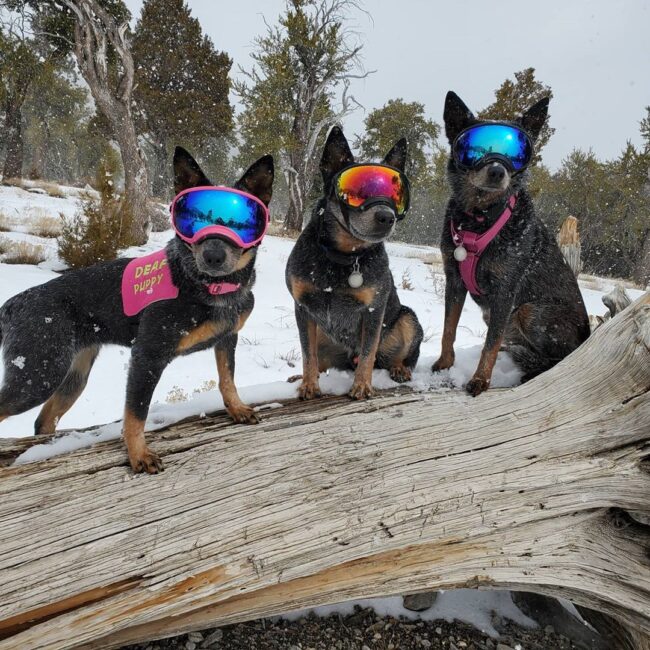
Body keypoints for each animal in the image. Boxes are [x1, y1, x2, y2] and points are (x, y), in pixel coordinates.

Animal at [0, 147, 272, 470]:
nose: (213, 256)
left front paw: (237, 408)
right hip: (37, 375)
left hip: (72, 377)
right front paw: (138, 455)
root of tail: (13, 303)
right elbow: (136, 413)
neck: (208, 287)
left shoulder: (227, 338)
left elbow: (227, 379)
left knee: (43, 421)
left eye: (240, 223)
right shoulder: (147, 356)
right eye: (191, 218)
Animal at [286, 125, 422, 400]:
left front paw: (362, 386)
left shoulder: (373, 311)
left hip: (408, 319)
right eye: (357, 192)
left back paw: (400, 369)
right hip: (324, 335)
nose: (387, 217)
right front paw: (308, 385)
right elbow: (307, 354)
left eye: (395, 194)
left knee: (399, 356)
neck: (343, 256)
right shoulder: (303, 308)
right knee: (321, 361)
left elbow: (368, 352)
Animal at [430, 91, 588, 394]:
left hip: (527, 311)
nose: (496, 171)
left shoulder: (505, 291)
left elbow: (489, 345)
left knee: (559, 359)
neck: (479, 220)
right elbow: (448, 329)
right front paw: (444, 363)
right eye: (475, 149)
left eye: (515, 153)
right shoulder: (454, 279)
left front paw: (480, 380)